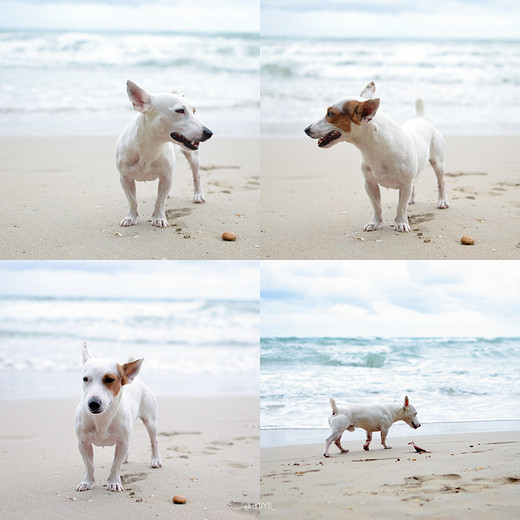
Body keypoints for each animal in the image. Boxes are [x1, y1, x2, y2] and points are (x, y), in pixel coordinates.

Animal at [74, 342, 161, 492]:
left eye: (109, 379)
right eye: (85, 379)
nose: (93, 403)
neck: (102, 419)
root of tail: (136, 380)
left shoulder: (122, 443)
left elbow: (115, 466)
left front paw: (114, 482)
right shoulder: (83, 444)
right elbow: (89, 465)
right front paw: (87, 482)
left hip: (150, 421)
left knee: (153, 441)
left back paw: (155, 459)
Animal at [116, 80, 213, 226]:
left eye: (194, 111)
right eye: (180, 110)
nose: (209, 133)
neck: (151, 146)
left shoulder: (166, 177)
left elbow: (159, 201)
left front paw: (159, 218)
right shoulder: (125, 178)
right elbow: (132, 200)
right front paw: (131, 217)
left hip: (193, 158)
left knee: (197, 176)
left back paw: (198, 195)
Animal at [306, 82, 448, 233]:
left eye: (330, 114)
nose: (306, 129)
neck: (374, 149)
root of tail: (420, 119)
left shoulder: (405, 184)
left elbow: (401, 207)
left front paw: (401, 223)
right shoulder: (369, 184)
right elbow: (376, 206)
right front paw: (375, 222)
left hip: (438, 163)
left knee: (441, 182)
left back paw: (442, 201)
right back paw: (411, 199)